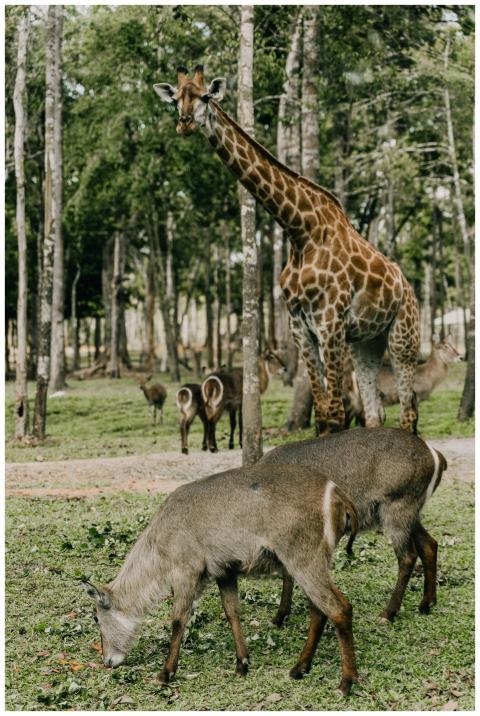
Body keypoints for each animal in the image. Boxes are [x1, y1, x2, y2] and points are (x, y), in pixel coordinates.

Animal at [154, 65, 419, 435]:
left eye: (205, 96)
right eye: (176, 98)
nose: (185, 123)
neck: (299, 233)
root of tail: (407, 286)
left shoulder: (330, 324)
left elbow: (336, 414)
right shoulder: (300, 329)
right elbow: (323, 413)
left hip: (403, 337)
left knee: (408, 413)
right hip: (366, 342)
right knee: (375, 415)